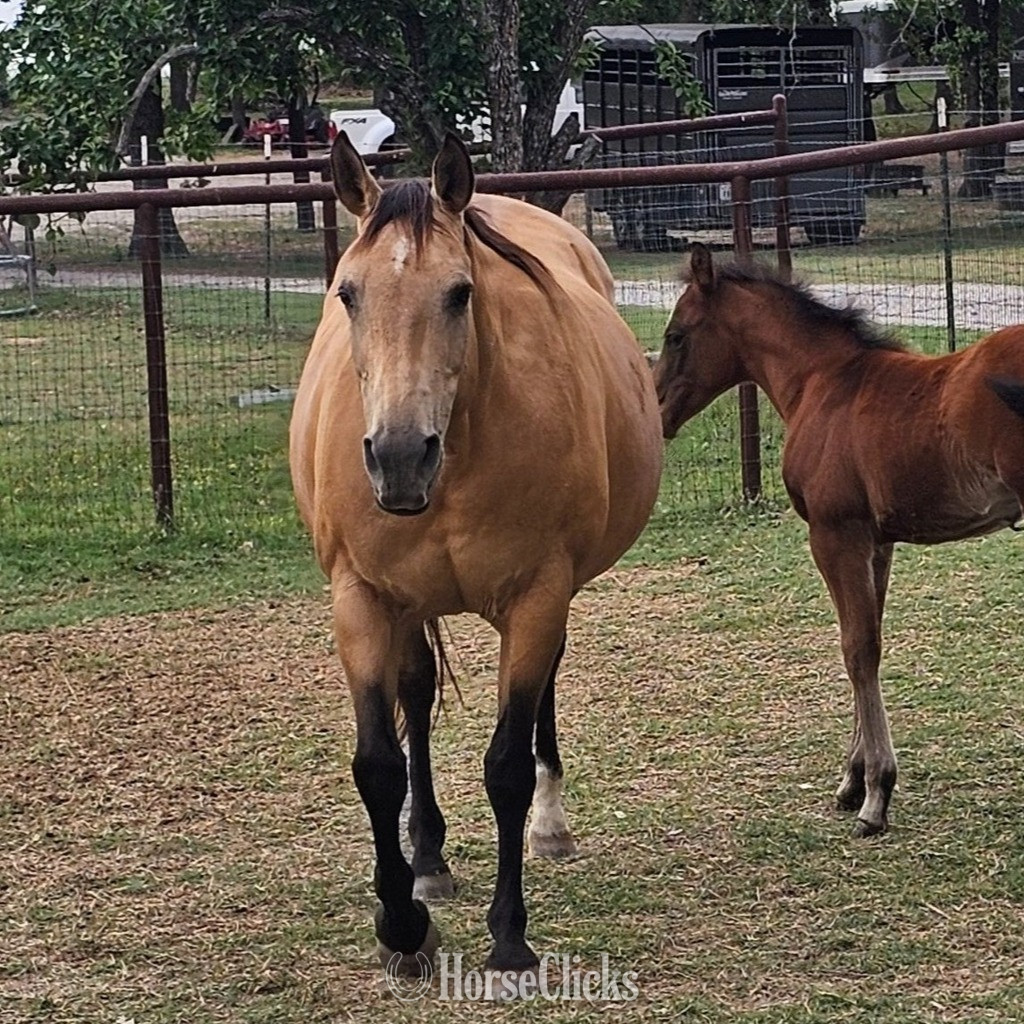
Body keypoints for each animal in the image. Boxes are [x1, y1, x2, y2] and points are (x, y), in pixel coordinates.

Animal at [289, 131, 663, 976]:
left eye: (459, 293)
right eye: (346, 294)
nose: (399, 458)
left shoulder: (537, 595)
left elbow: (506, 766)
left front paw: (510, 935)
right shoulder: (360, 598)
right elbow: (378, 764)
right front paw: (401, 926)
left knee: (539, 700)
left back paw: (550, 826)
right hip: (409, 604)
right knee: (417, 698)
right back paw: (426, 861)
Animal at [653, 242, 1024, 838]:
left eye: (677, 335)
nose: (658, 410)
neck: (822, 384)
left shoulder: (834, 535)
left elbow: (857, 649)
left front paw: (876, 794)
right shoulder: (876, 542)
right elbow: (868, 639)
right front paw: (854, 781)